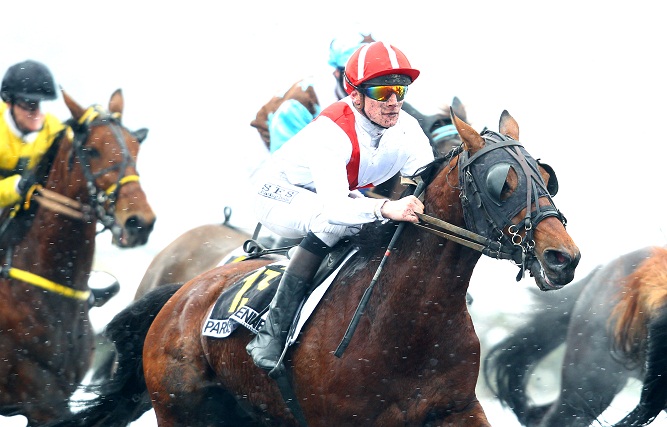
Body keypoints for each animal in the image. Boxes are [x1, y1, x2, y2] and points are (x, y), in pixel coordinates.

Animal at [51, 108, 580, 426]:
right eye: (502, 182)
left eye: (545, 175)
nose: (563, 257)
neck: (409, 324)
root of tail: (180, 294)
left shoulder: (454, 409)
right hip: (181, 411)